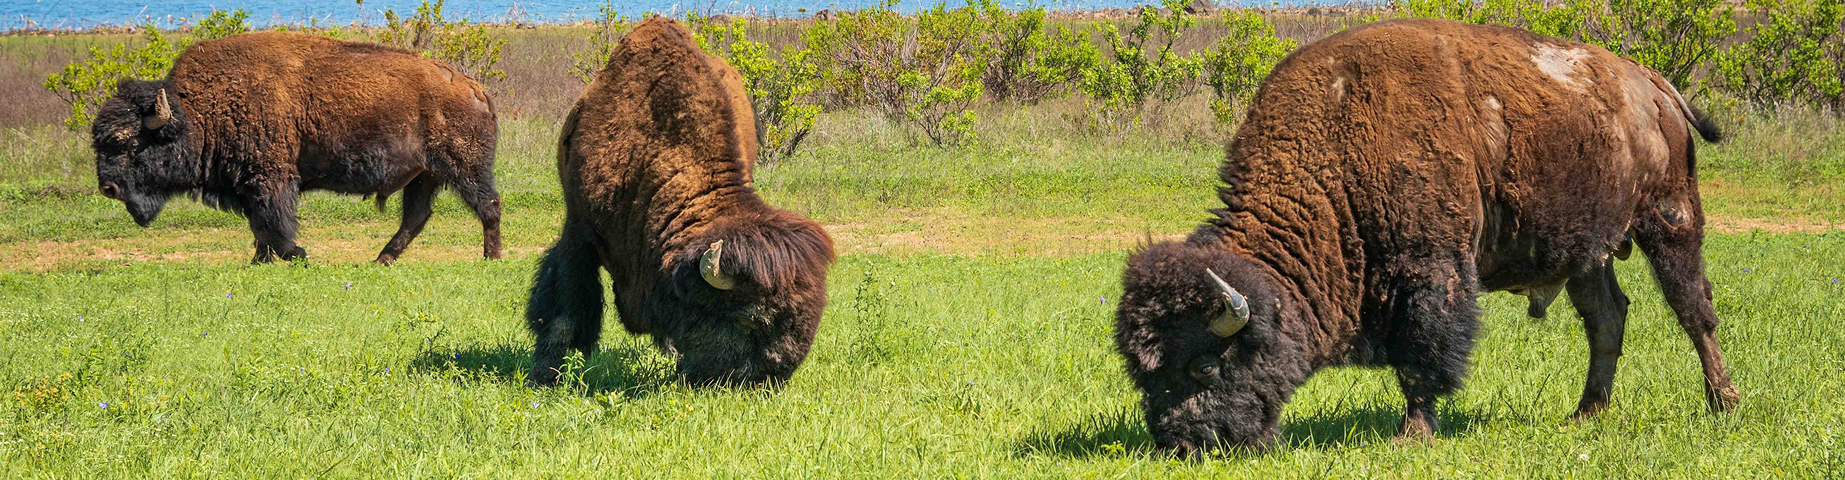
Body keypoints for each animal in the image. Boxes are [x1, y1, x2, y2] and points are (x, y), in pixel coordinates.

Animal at [90, 32, 502, 264]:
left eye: (129, 144)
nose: (107, 187)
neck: (198, 110)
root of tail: (474, 88)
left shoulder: (269, 177)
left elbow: (272, 221)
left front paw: (296, 255)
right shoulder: (248, 183)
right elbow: (259, 224)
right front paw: (262, 260)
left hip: (465, 169)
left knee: (488, 205)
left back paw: (491, 258)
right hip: (425, 175)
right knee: (416, 217)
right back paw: (382, 260)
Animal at [1113, 19, 1739, 454]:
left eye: (1204, 366)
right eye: (1143, 373)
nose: (1181, 445)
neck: (1337, 147)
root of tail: (1652, 84)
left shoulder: (1428, 271)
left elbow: (1422, 355)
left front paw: (1411, 434)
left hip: (1670, 217)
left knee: (1693, 308)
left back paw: (1723, 404)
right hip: (1588, 250)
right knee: (1607, 318)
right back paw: (1585, 413)